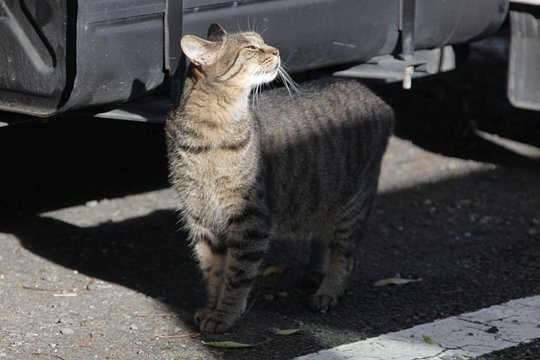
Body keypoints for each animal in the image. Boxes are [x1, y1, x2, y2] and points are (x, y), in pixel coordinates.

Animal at [165, 23, 392, 334]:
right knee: (322, 235)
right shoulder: (199, 216)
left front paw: (224, 315)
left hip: (352, 204)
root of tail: (374, 96)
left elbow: (237, 275)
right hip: (321, 197)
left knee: (345, 257)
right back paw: (315, 272)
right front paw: (212, 306)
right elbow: (212, 270)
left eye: (262, 42)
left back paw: (327, 291)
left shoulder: (250, 219)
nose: (277, 50)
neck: (213, 127)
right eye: (251, 48)